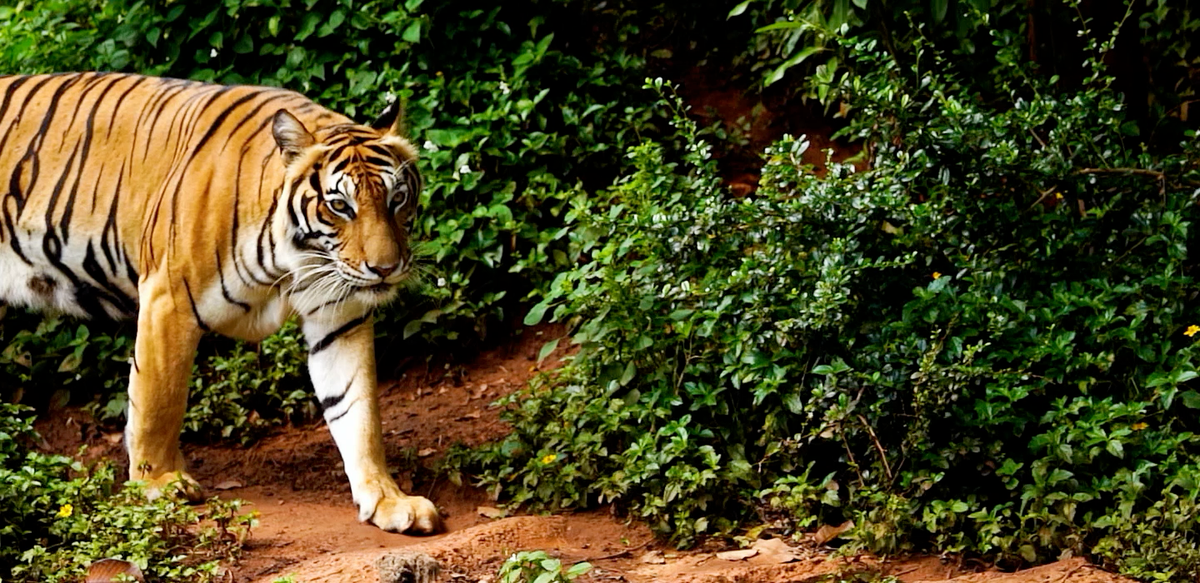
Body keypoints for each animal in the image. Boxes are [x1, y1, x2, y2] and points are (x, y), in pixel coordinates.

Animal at [0, 72, 441, 534]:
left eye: (397, 199)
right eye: (340, 205)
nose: (385, 268)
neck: (294, 260)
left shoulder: (340, 316)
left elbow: (358, 410)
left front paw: (389, 499)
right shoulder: (168, 299)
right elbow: (158, 403)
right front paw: (159, 484)